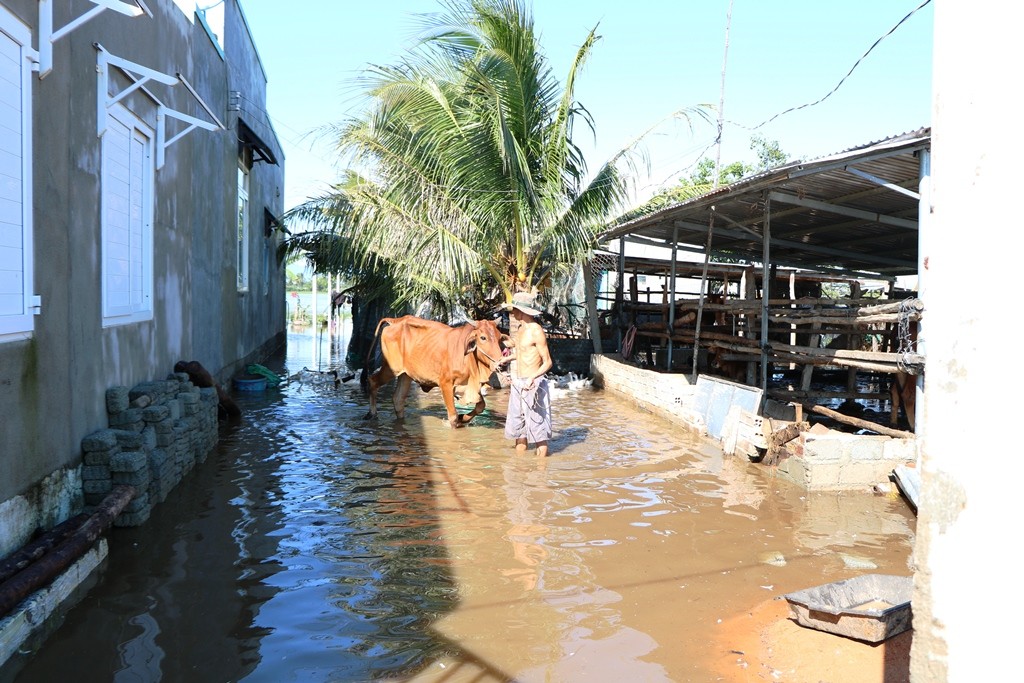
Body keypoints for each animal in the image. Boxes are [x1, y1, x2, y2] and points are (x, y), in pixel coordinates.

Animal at [360, 315, 507, 428]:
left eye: (499, 337)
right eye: (483, 337)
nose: (502, 363)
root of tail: (396, 320)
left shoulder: (466, 386)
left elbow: (481, 406)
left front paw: (463, 418)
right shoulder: (445, 384)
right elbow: (453, 416)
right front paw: (458, 420)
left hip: (405, 375)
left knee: (398, 399)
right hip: (391, 369)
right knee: (373, 381)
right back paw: (372, 414)